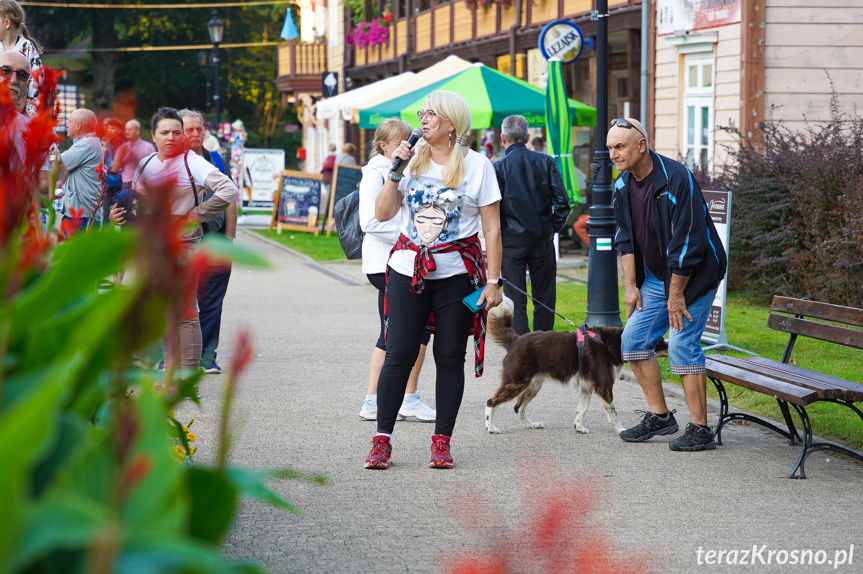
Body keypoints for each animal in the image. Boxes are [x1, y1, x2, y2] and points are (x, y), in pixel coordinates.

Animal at [486, 302, 668, 436]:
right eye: (659, 340)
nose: (670, 345)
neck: (615, 343)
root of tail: (515, 340)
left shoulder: (587, 387)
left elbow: (582, 410)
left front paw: (579, 428)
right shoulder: (603, 386)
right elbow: (613, 412)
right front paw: (621, 430)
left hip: (532, 385)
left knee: (518, 408)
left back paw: (531, 425)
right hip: (517, 382)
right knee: (491, 402)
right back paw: (491, 428)